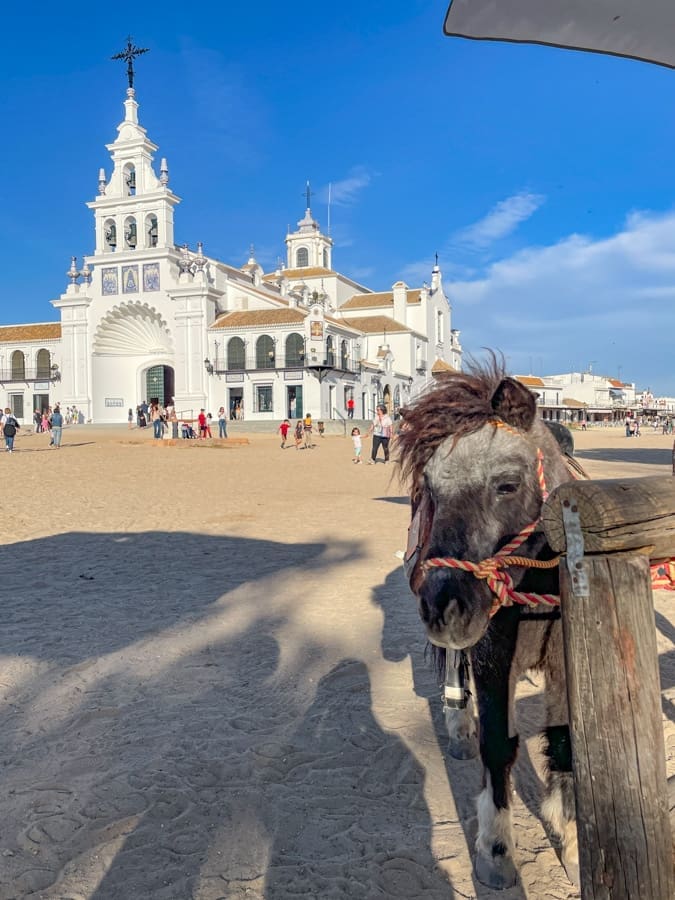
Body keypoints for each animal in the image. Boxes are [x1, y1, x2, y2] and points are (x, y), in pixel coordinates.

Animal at [402, 360, 580, 892]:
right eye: (431, 488)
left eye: (506, 484)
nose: (443, 606)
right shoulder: (493, 657)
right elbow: (499, 747)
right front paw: (496, 852)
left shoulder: (564, 661)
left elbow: (563, 742)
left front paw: (568, 838)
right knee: (453, 670)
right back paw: (459, 725)